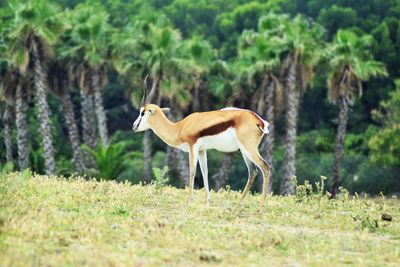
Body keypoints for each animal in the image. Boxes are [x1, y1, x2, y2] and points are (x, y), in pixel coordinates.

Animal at [132, 76, 272, 208]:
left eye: (142, 112)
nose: (134, 126)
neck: (179, 128)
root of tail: (259, 120)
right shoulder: (202, 150)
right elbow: (205, 171)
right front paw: (208, 201)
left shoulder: (192, 147)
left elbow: (192, 172)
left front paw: (188, 201)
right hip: (243, 151)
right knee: (253, 172)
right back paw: (237, 205)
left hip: (248, 149)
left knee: (265, 167)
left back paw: (260, 208)